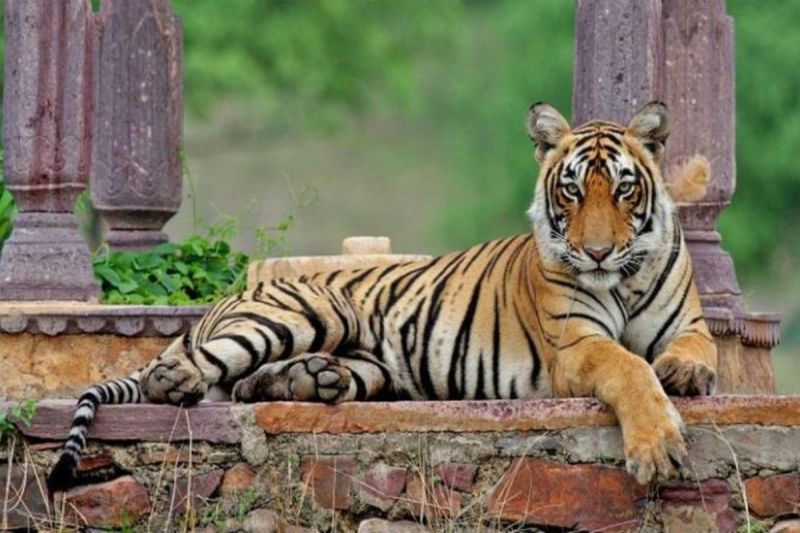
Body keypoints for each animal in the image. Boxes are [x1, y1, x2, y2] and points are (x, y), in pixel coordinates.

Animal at [48, 101, 717, 492]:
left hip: (370, 365)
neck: (624, 278)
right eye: (572, 191)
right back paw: (185, 380)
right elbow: (629, 369)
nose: (597, 252)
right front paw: (659, 449)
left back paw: (309, 382)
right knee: (178, 371)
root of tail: (234, 292)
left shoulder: (688, 325)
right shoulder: (575, 346)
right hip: (302, 313)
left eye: (624, 190)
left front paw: (686, 374)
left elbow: (690, 352)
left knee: (244, 385)